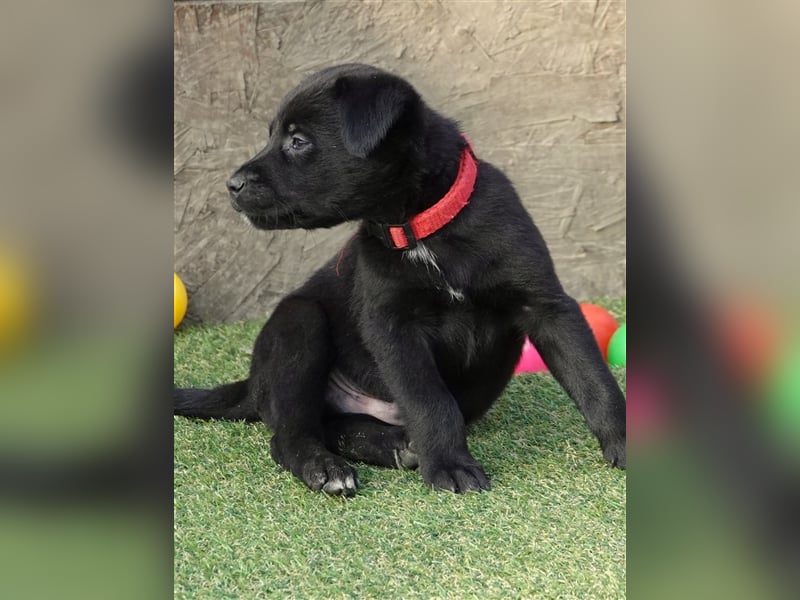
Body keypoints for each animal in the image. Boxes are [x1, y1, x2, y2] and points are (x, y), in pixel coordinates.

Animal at [173, 64, 624, 496]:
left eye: (298, 141)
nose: (231, 184)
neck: (424, 230)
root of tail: (252, 385)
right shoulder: (393, 325)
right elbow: (430, 401)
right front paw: (450, 465)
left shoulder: (546, 305)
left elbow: (593, 377)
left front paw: (623, 441)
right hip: (298, 322)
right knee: (291, 434)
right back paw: (328, 467)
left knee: (332, 426)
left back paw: (392, 445)